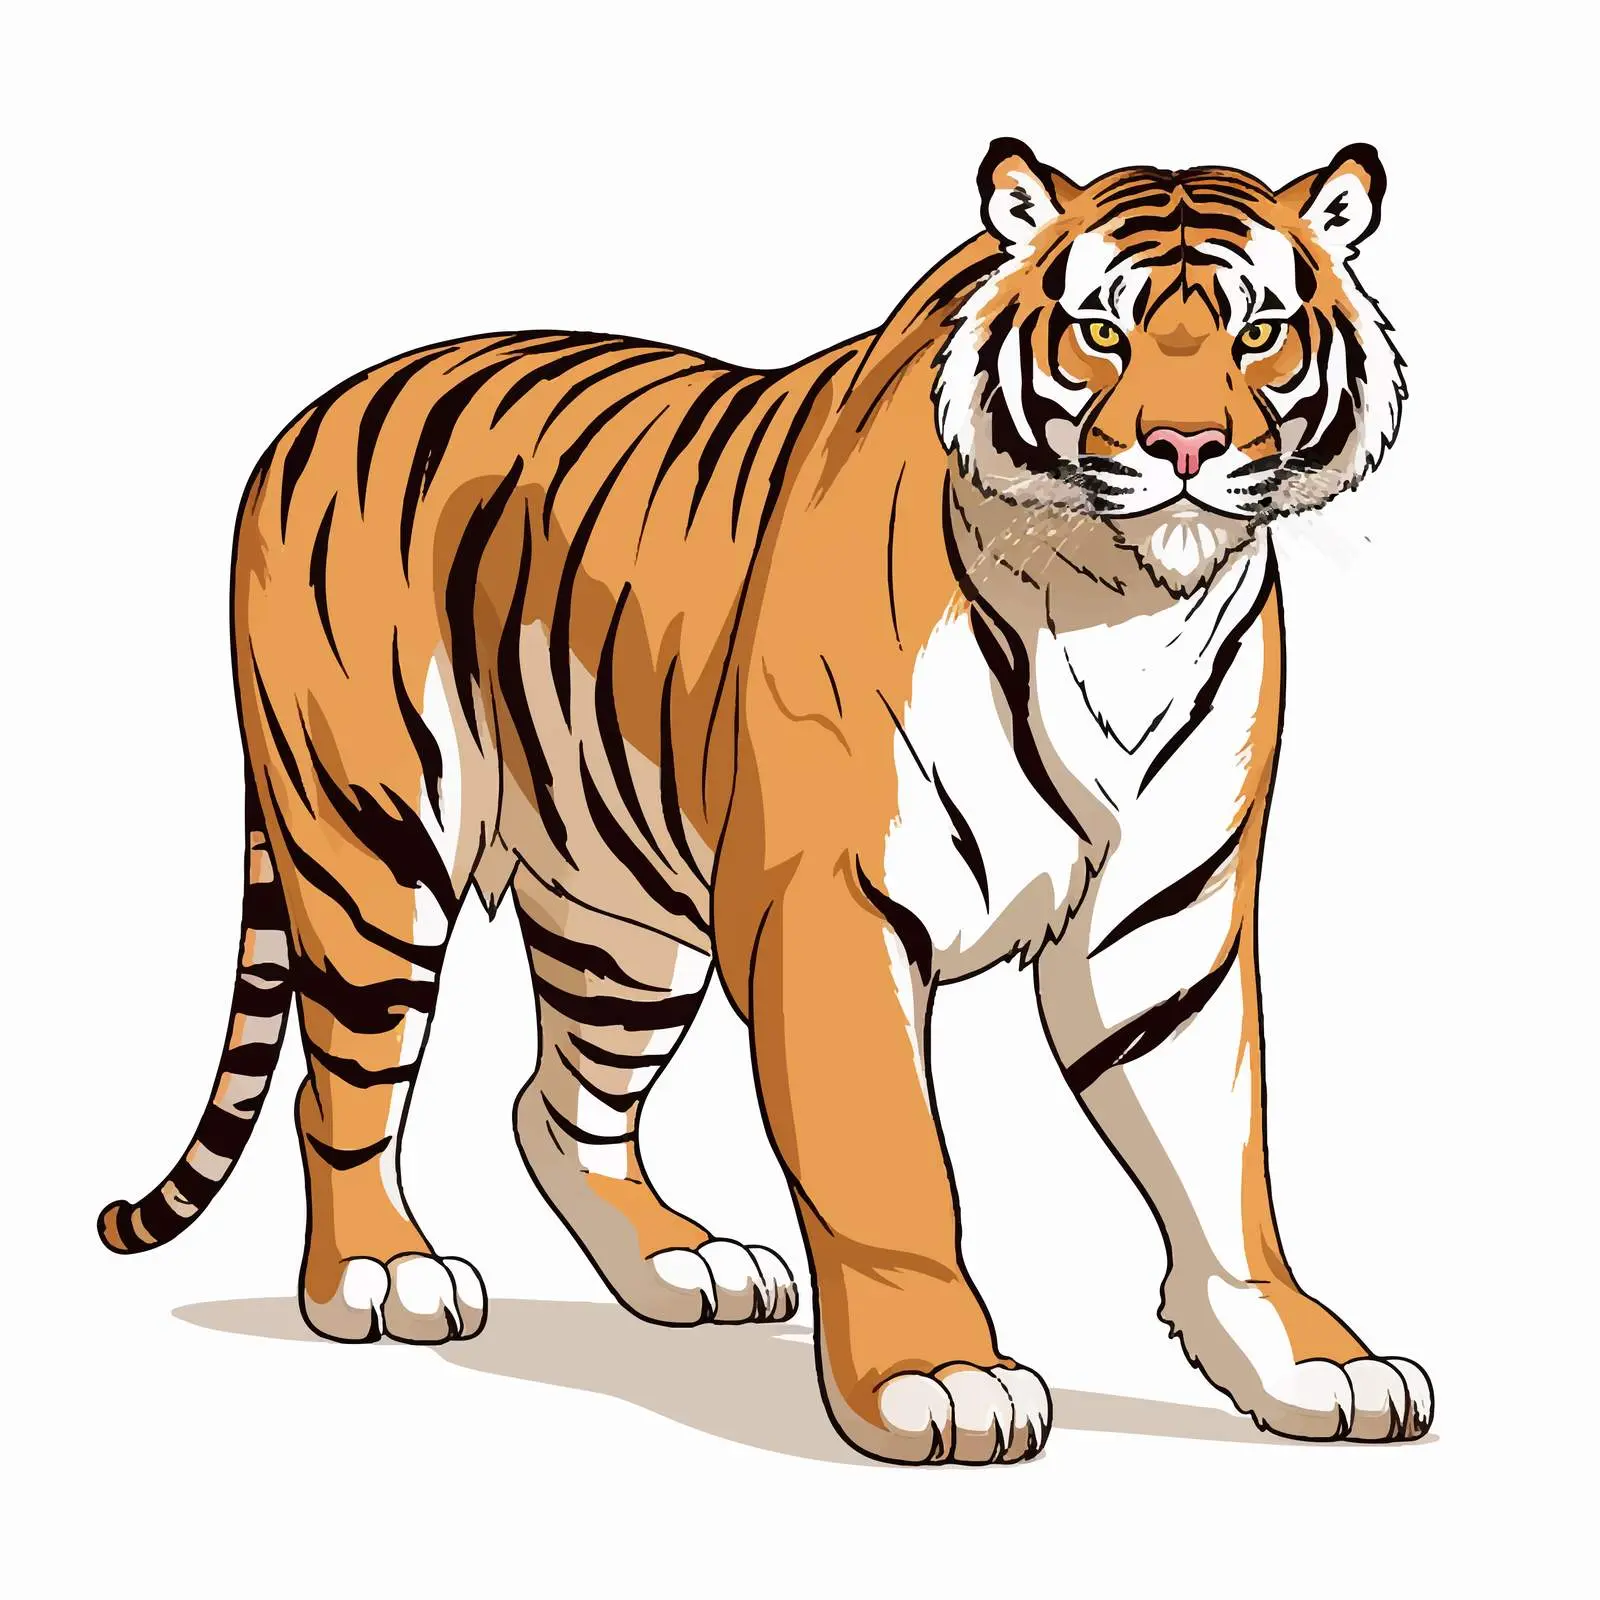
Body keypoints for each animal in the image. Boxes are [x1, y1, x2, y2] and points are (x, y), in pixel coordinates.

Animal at [99, 137, 1428, 1465]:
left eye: (1258, 334)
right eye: (1102, 332)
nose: (1185, 448)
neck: (1125, 600)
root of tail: (306, 416)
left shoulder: (1164, 926)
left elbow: (1221, 1163)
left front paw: (1309, 1361)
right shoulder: (836, 906)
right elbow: (889, 1165)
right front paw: (938, 1375)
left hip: (620, 918)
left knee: (557, 1104)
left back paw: (680, 1265)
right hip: (373, 840)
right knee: (342, 1083)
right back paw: (382, 1275)